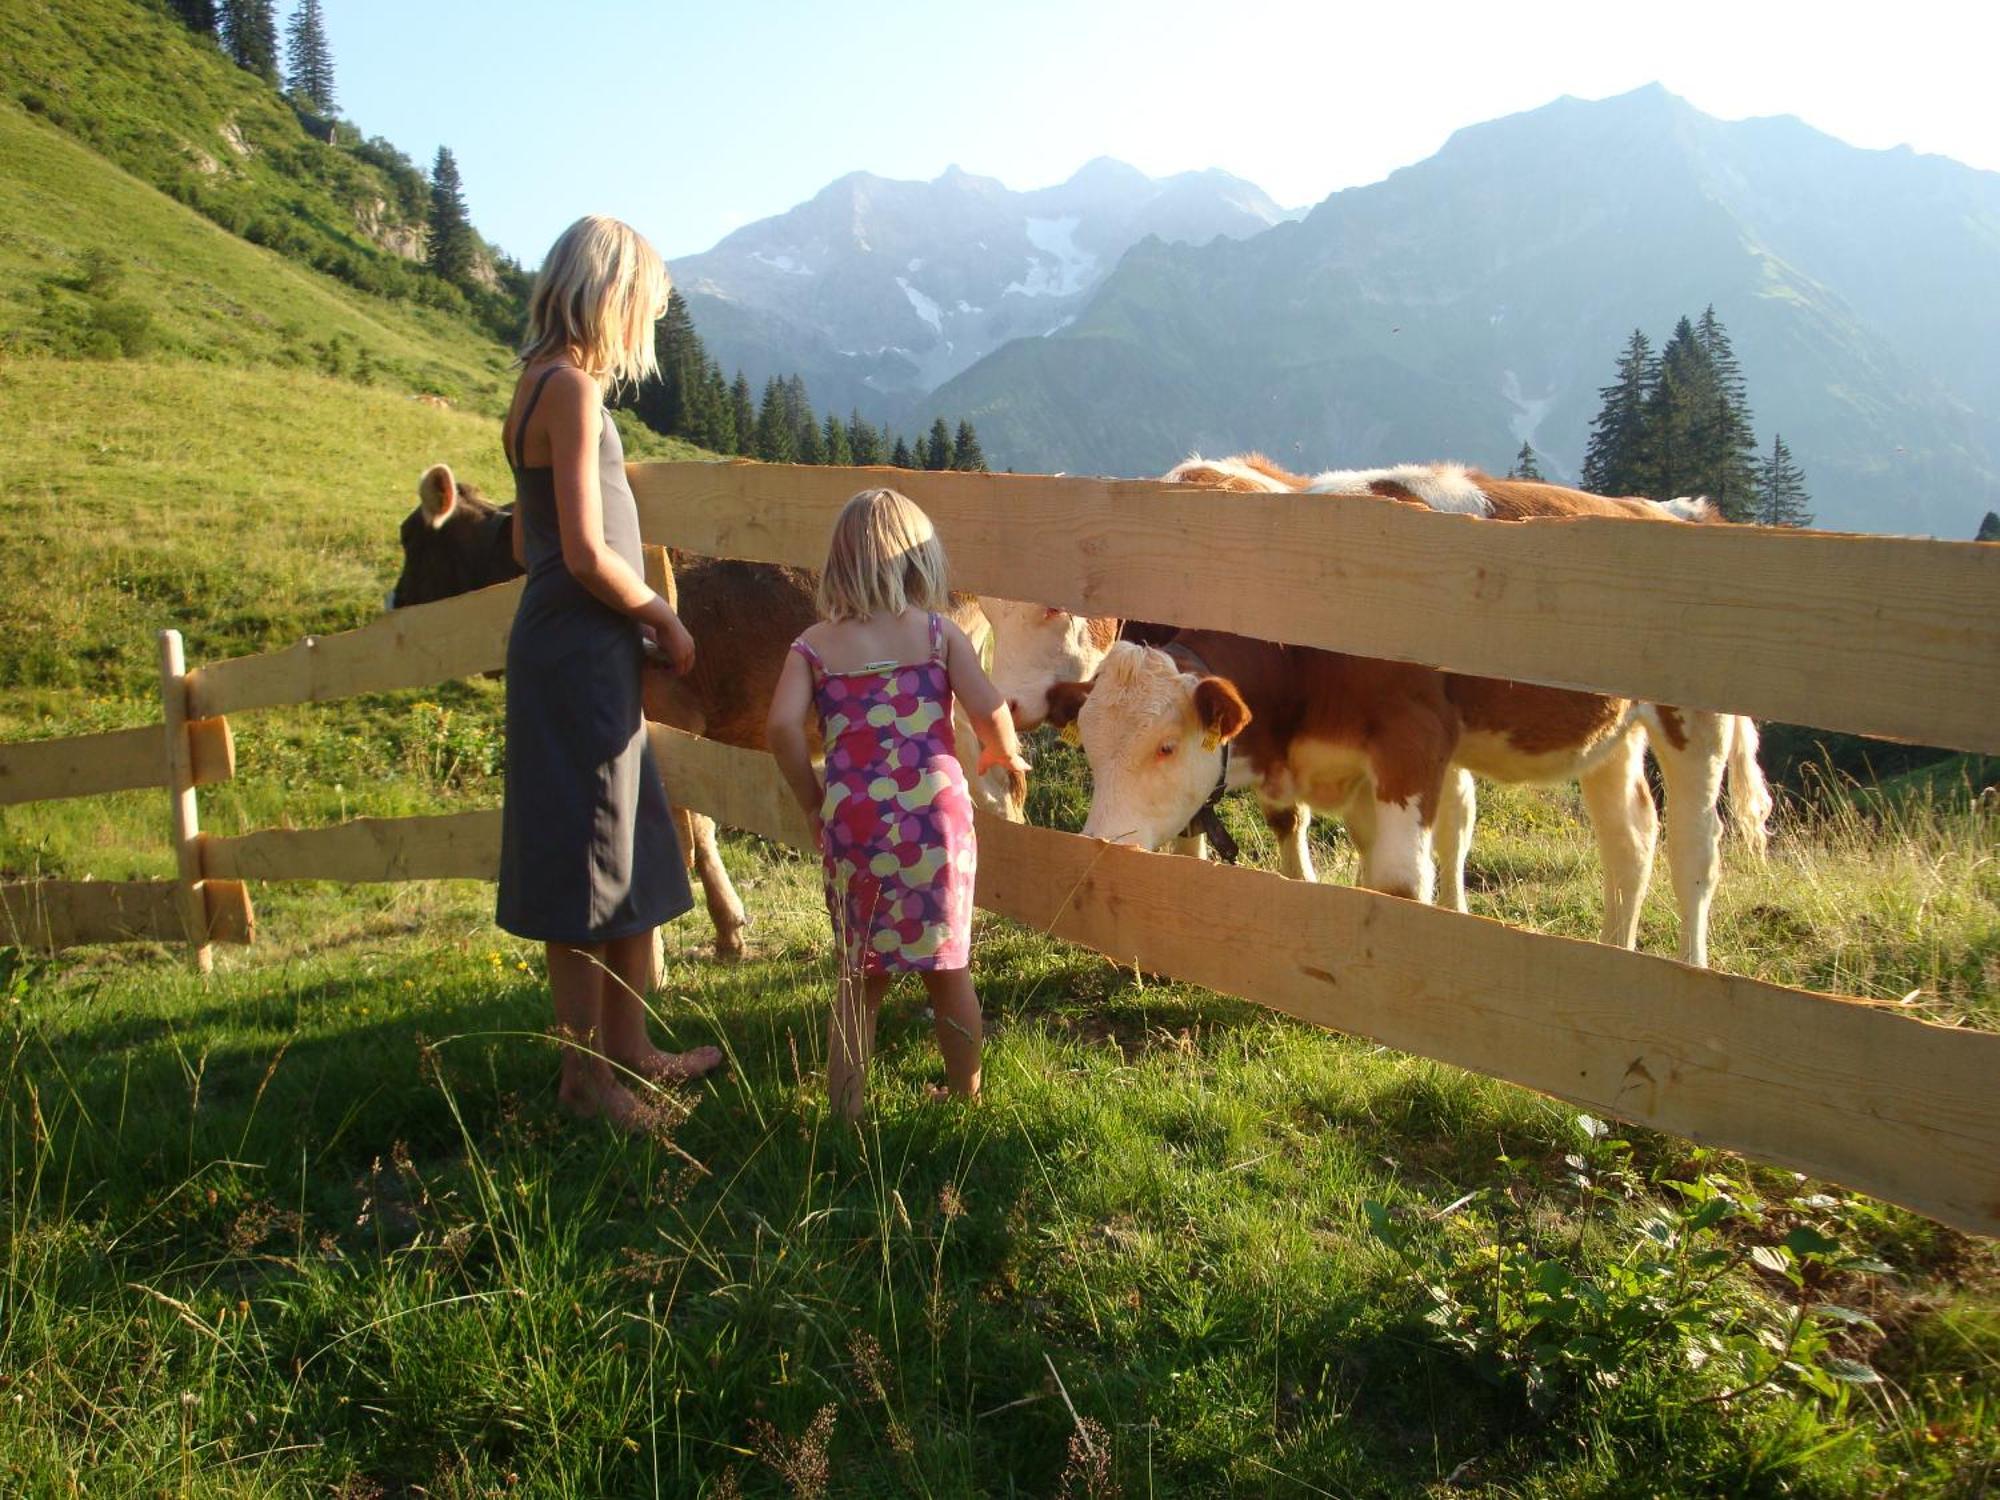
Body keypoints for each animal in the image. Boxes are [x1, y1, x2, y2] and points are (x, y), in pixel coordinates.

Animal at [1008, 452, 1776, 968]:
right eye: (1091, 748)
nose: (1100, 845)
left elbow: (1397, 884)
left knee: (1694, 851)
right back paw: (1615, 953)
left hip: (1694, 724)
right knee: (1630, 839)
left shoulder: (1413, 742)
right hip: (1610, 740)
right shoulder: (1340, 764)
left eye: (1166, 745)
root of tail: (1675, 508)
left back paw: (1688, 968)